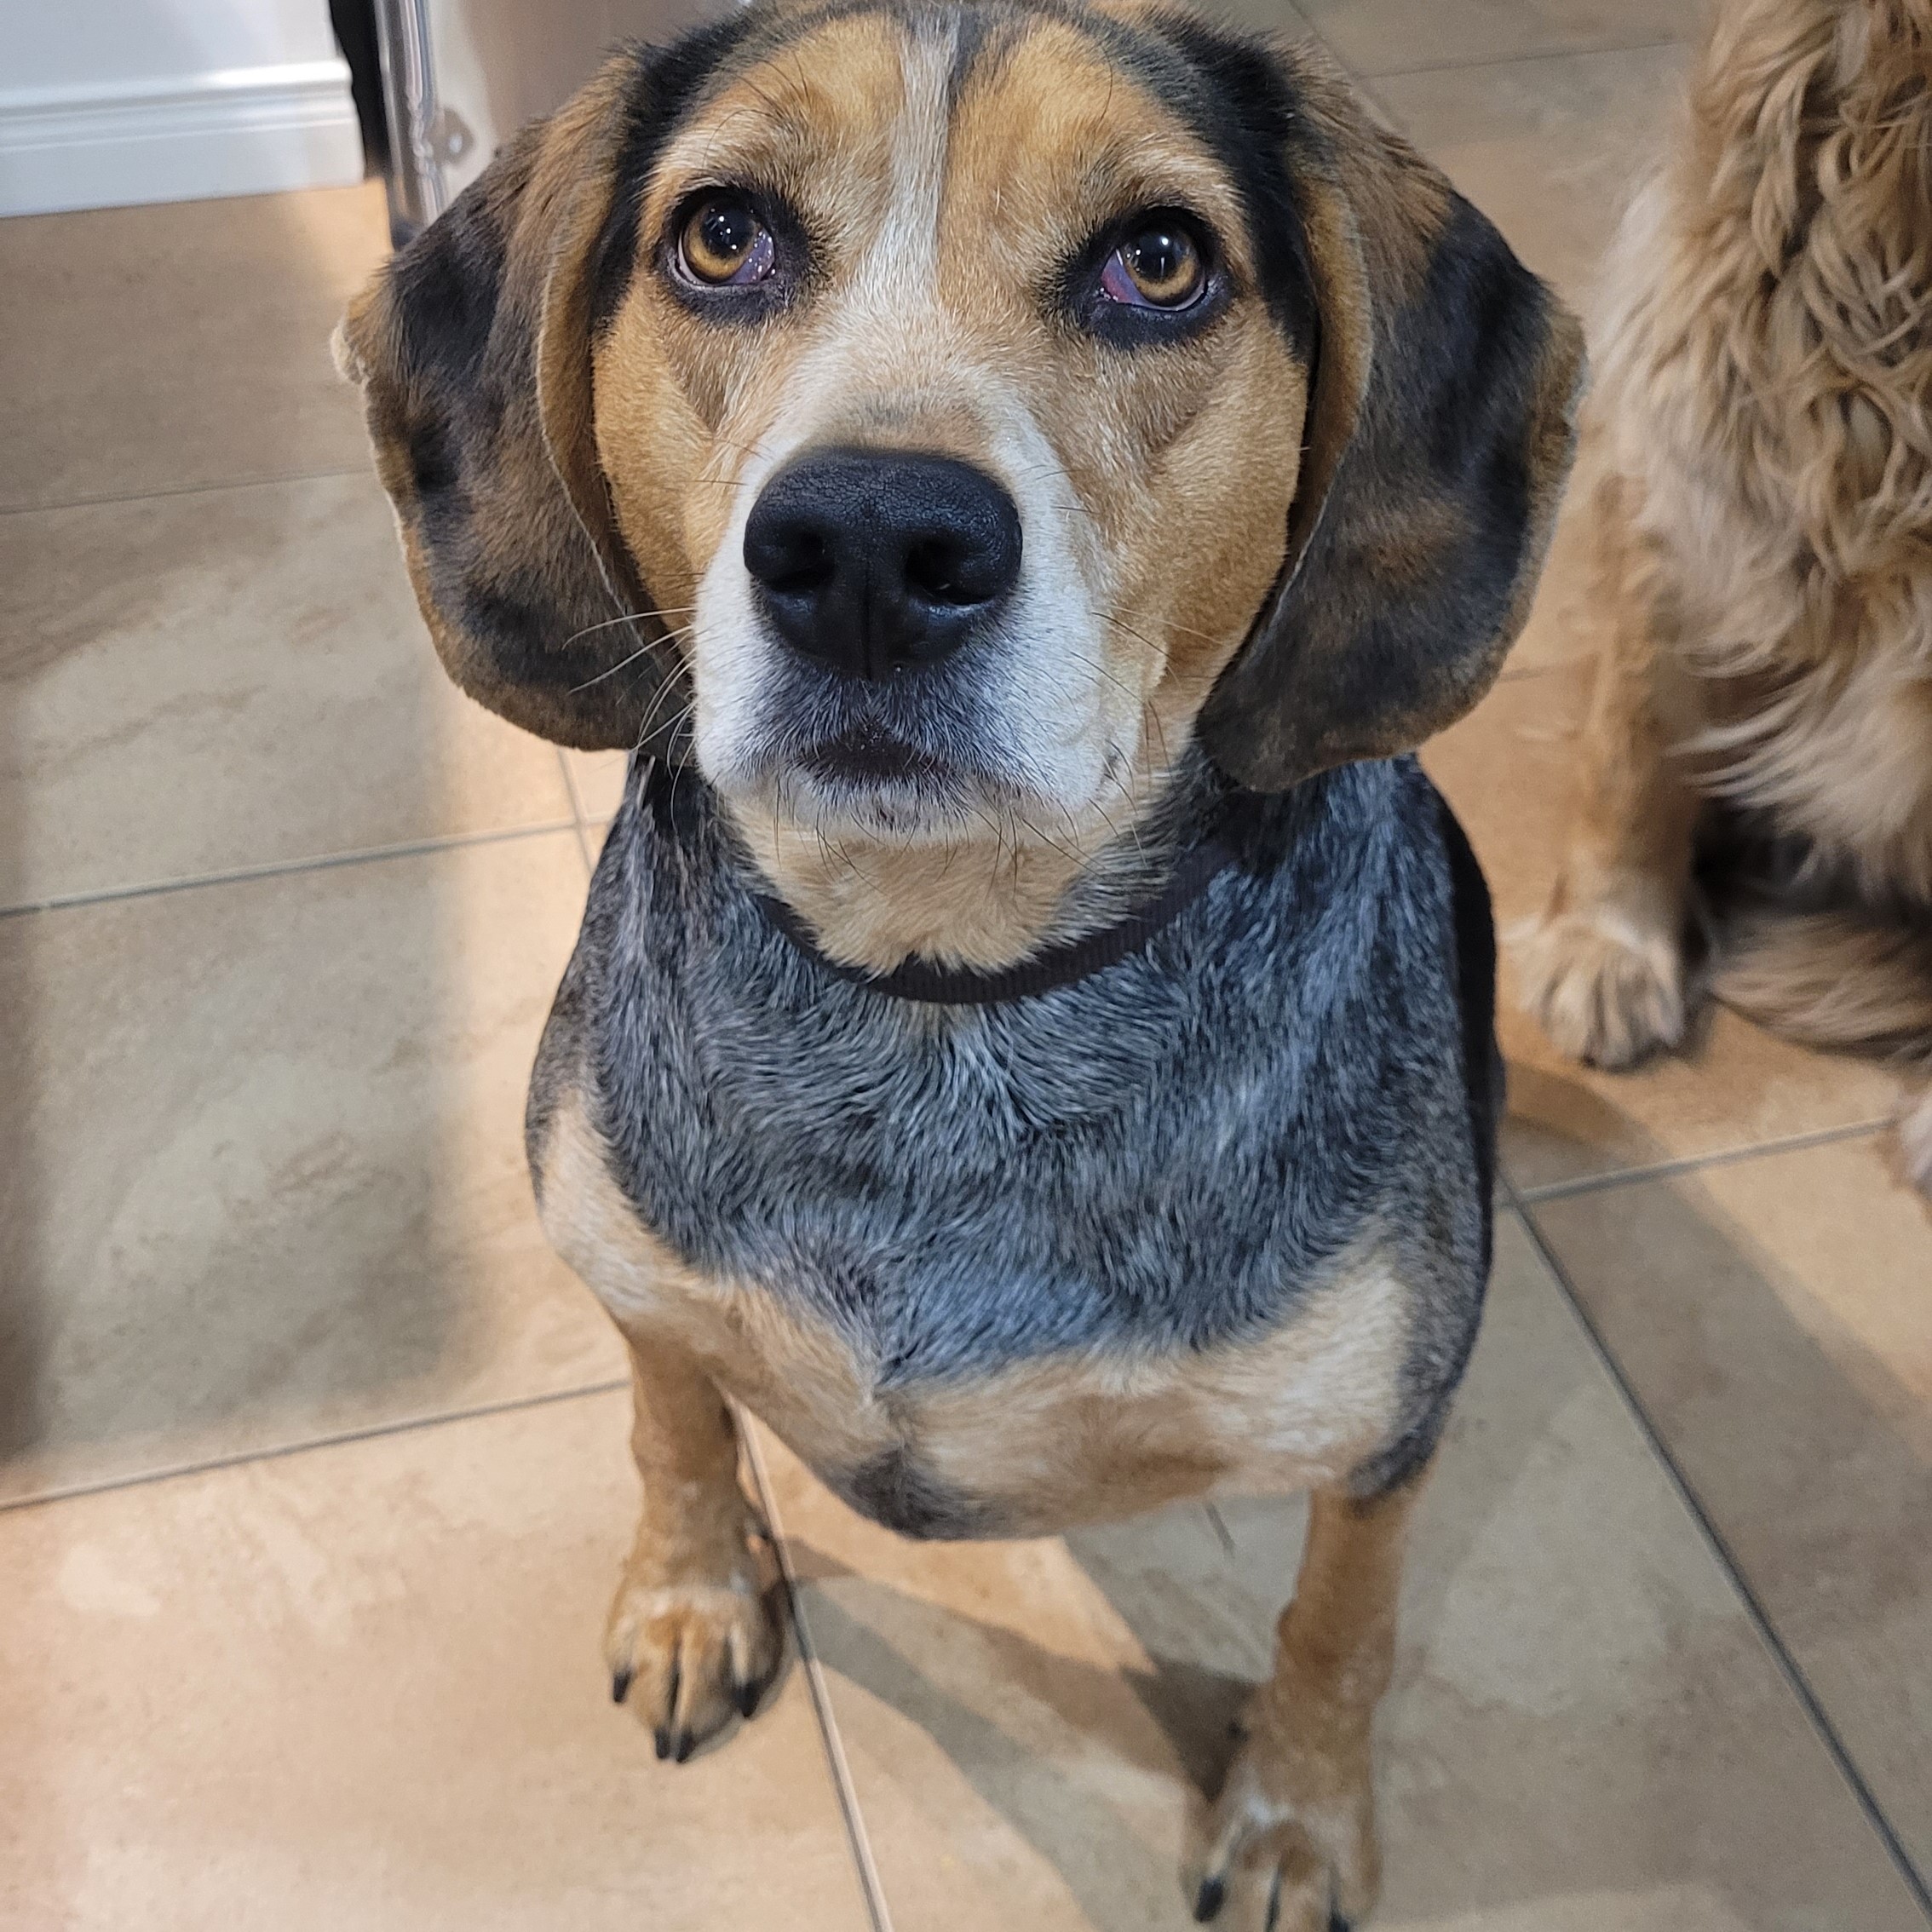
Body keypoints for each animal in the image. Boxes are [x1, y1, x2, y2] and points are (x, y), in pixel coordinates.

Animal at [335, 3, 1582, 1921]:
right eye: (722, 237)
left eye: (1159, 261)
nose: (866, 545)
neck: (938, 996)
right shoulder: (628, 1266)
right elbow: (673, 1423)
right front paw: (691, 1596)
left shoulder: (1382, 1440)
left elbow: (1336, 1626)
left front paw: (1293, 1818)